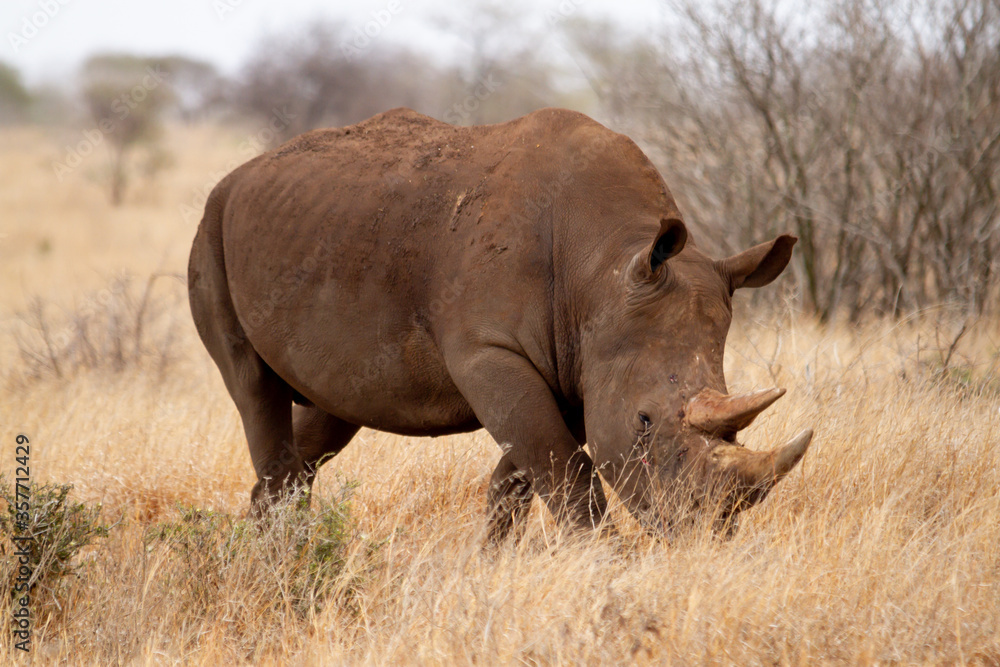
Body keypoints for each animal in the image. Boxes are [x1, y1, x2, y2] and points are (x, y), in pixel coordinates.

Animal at [188, 107, 812, 542]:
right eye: (643, 422)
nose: (706, 534)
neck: (605, 267)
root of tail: (239, 176)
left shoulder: (575, 364)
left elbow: (522, 476)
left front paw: (487, 565)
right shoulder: (490, 350)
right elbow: (565, 472)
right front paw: (610, 567)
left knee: (331, 410)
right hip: (211, 229)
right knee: (253, 387)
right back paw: (281, 561)